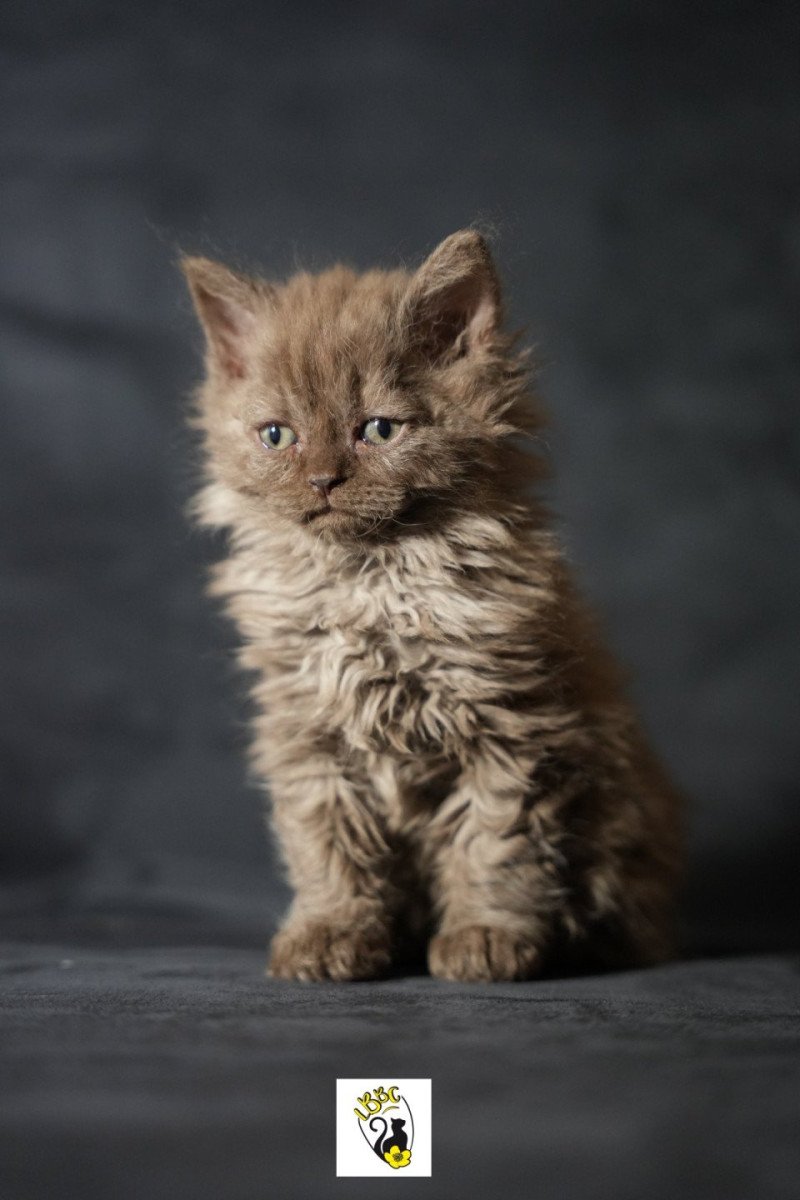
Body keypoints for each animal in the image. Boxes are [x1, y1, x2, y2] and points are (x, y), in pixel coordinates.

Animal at [181, 229, 681, 979]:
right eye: (277, 436)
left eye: (380, 431)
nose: (323, 480)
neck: (371, 584)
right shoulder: (309, 739)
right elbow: (327, 846)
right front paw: (331, 932)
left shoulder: (511, 729)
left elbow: (496, 842)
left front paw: (485, 937)